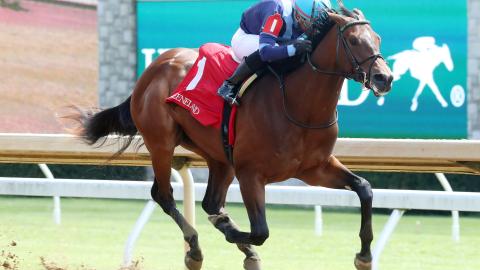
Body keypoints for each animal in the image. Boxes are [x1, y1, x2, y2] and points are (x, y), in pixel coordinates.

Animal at [73, 4, 392, 270]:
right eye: (354, 40)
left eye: (377, 38)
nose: (384, 78)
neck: (299, 106)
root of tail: (155, 66)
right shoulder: (251, 173)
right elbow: (261, 231)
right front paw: (233, 233)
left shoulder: (314, 168)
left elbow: (364, 188)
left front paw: (364, 256)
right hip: (161, 143)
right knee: (164, 195)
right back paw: (196, 249)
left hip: (219, 156)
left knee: (210, 202)